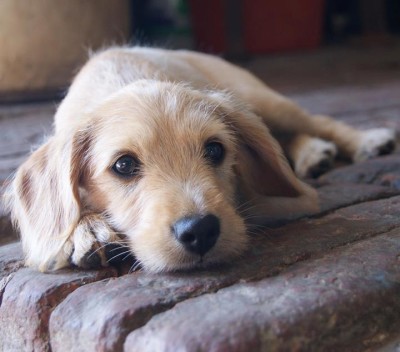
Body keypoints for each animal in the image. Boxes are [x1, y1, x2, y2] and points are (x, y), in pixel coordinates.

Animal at [3, 46, 396, 272]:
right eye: (124, 165)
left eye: (215, 150)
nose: (200, 231)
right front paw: (87, 230)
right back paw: (314, 154)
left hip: (262, 99)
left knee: (314, 122)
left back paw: (363, 141)